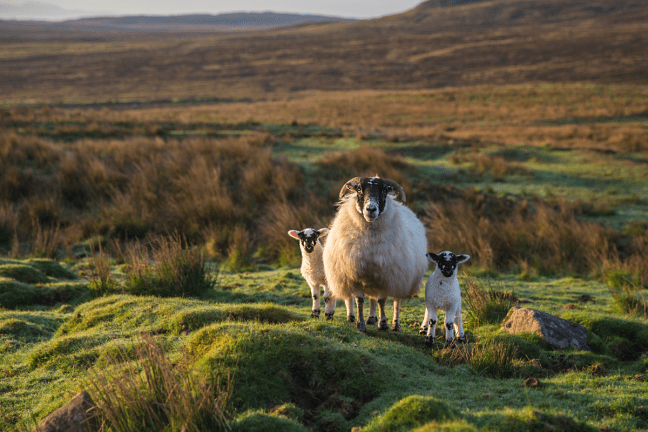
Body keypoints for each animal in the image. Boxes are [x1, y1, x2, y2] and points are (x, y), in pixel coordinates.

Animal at [323, 176, 428, 332]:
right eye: (359, 189)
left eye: (384, 190)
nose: (371, 209)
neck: (369, 242)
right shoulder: (356, 276)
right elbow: (360, 301)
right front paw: (360, 324)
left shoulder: (386, 277)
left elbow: (382, 301)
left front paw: (383, 324)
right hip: (372, 279)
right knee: (372, 299)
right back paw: (371, 319)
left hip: (401, 278)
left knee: (396, 301)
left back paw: (395, 325)